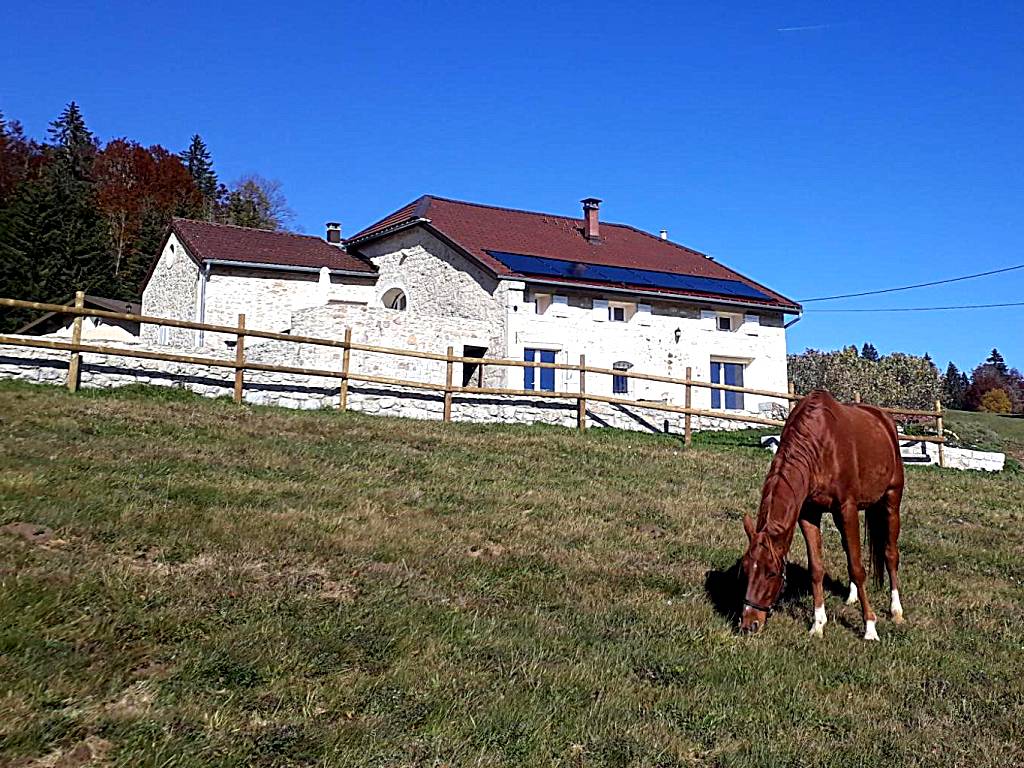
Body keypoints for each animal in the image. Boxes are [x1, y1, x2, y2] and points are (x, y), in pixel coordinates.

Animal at [741, 387, 901, 638]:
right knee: (849, 549)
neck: (820, 445)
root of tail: (884, 419)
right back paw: (852, 597)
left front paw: (869, 627)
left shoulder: (847, 508)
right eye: (746, 569)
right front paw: (817, 624)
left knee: (890, 553)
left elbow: (858, 568)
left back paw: (896, 610)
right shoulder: (809, 514)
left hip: (892, 499)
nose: (749, 625)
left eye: (772, 573)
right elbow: (817, 568)